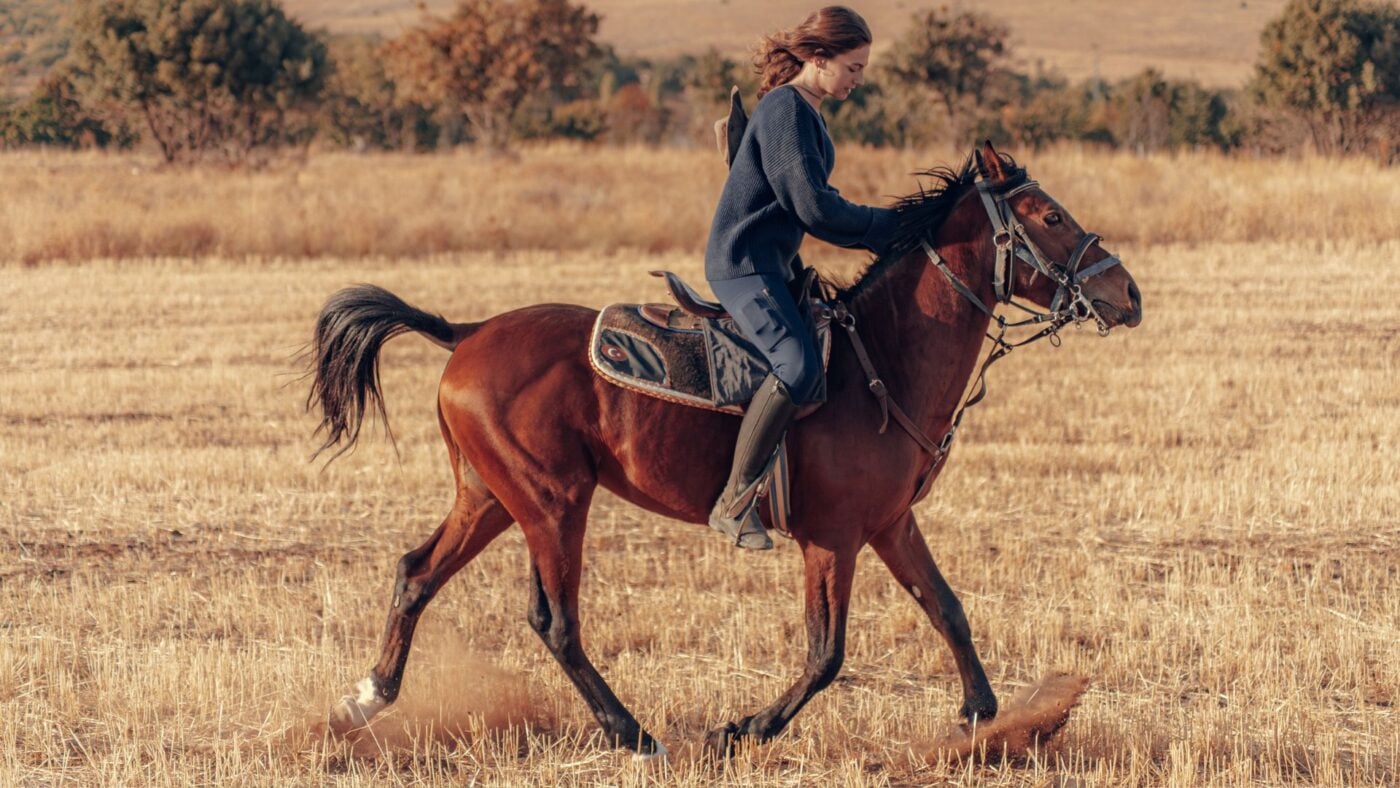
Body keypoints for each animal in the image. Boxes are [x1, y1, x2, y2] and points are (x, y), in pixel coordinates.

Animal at [306, 141, 1142, 759]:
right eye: (1050, 215)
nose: (1127, 294)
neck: (883, 357)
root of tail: (469, 332)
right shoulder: (833, 538)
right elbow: (826, 653)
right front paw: (741, 730)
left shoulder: (890, 525)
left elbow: (948, 609)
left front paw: (989, 718)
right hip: (552, 503)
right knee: (555, 621)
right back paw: (634, 734)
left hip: (489, 497)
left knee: (416, 574)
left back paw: (363, 702)